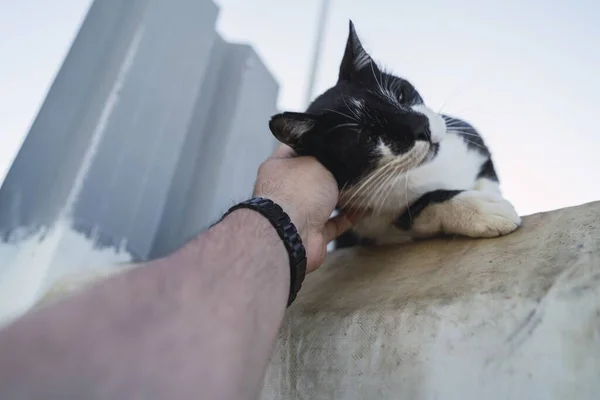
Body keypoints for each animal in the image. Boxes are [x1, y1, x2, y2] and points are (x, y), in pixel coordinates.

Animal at [268, 21, 520, 247]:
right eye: (369, 137)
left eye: (401, 94)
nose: (422, 127)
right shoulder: (371, 221)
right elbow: (420, 206)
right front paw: (485, 209)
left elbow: (487, 175)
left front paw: (487, 193)